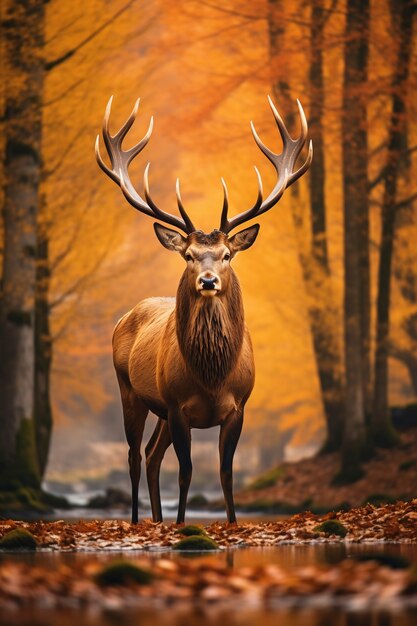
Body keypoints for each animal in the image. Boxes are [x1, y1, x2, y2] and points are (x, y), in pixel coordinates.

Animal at [93, 95, 308, 520]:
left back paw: (157, 520)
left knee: (151, 455)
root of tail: (124, 317)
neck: (212, 376)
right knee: (134, 456)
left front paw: (229, 522)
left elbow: (225, 474)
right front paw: (181, 525)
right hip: (130, 390)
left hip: (159, 408)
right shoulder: (178, 406)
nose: (208, 281)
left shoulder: (238, 407)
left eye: (226, 254)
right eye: (189, 255)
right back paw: (139, 520)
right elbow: (187, 473)